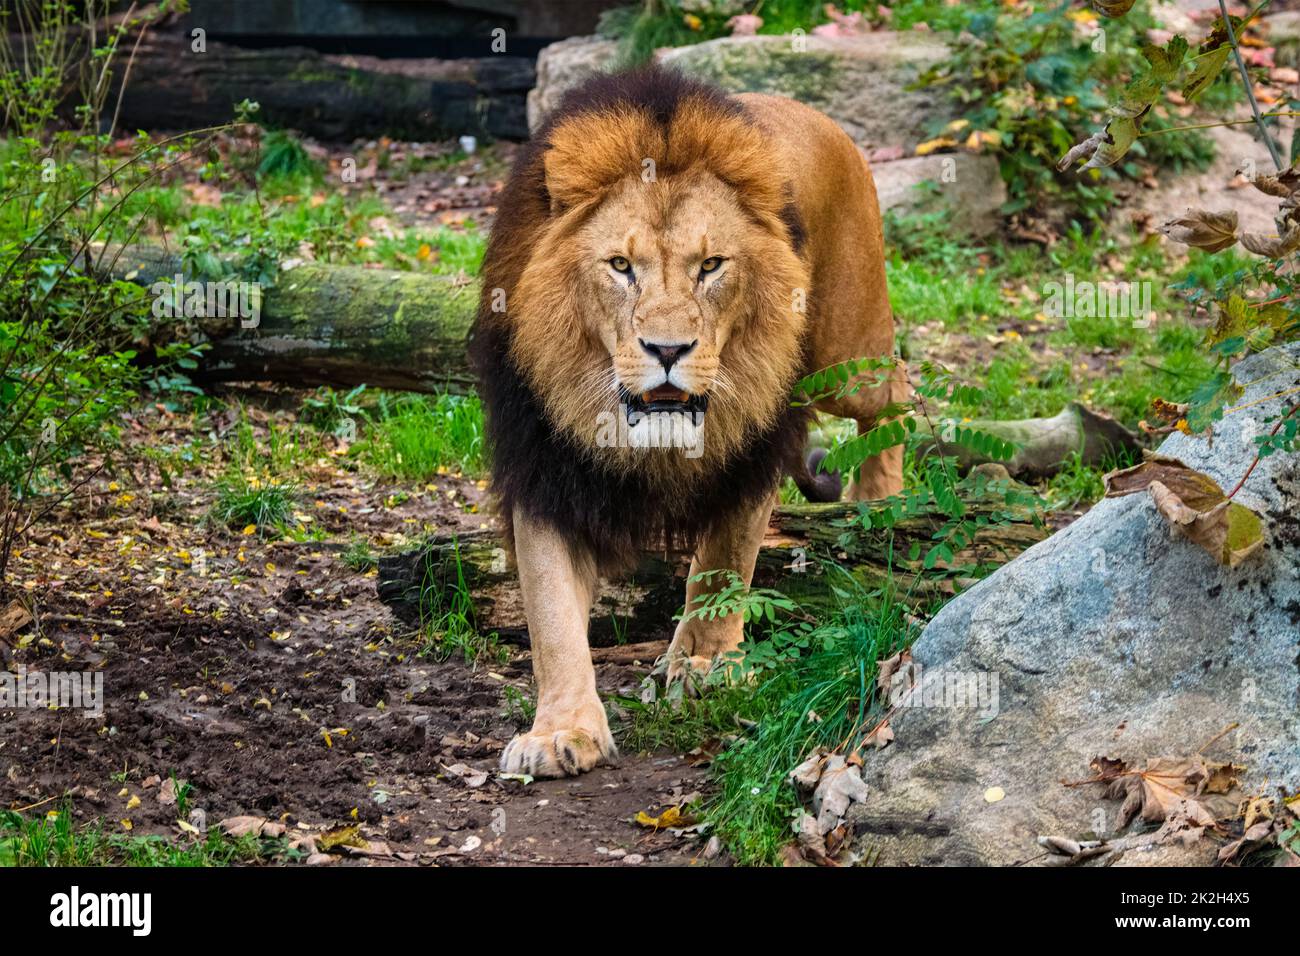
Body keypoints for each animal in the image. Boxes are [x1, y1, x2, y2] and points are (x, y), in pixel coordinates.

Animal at [470, 69, 904, 785]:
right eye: (621, 266)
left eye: (711, 266)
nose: (668, 350)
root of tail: (817, 114)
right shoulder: (546, 468)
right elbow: (552, 612)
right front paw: (561, 731)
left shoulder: (753, 449)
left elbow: (722, 564)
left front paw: (701, 666)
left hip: (847, 356)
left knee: (899, 391)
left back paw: (883, 499)